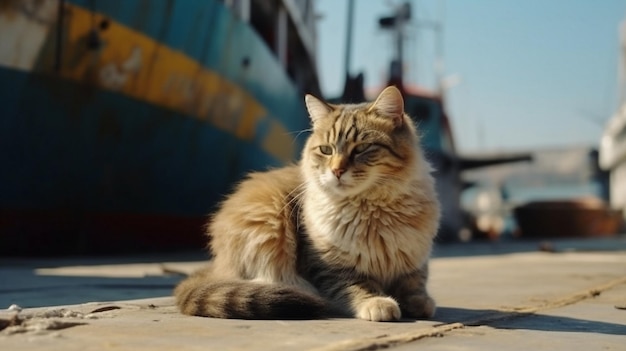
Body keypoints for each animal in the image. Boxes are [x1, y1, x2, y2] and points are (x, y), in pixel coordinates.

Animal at [174, 86, 438, 324]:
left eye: (362, 148)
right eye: (326, 150)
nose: (337, 171)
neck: (373, 208)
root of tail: (216, 265)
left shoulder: (415, 260)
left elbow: (415, 284)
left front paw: (419, 302)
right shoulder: (330, 267)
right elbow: (358, 286)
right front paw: (378, 302)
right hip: (270, 220)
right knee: (262, 279)